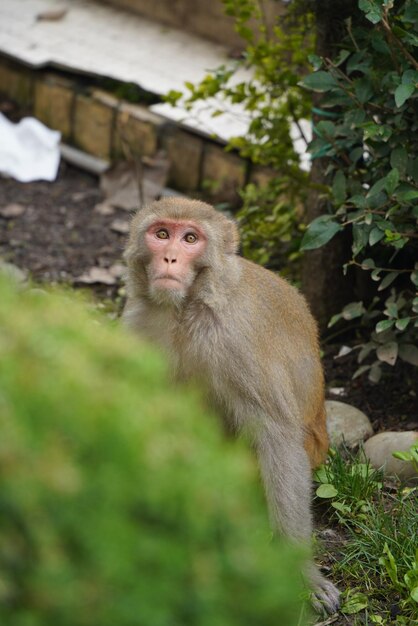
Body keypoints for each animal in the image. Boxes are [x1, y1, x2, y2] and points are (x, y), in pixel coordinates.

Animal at [121, 197, 340, 612]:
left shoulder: (238, 339)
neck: (187, 308)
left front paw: (301, 571)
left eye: (190, 239)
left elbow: (277, 438)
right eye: (162, 234)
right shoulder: (138, 322)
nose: (170, 258)